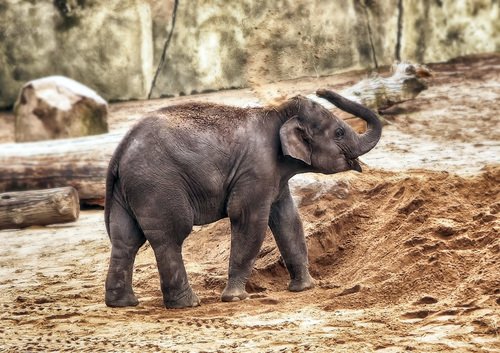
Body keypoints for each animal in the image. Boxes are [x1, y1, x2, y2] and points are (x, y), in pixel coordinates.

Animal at [103, 88, 380, 308]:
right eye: (339, 133)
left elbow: (288, 221)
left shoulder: (274, 175)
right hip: (157, 185)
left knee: (126, 240)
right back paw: (188, 304)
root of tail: (119, 151)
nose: (321, 90)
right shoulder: (256, 170)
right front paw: (235, 298)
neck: (276, 113)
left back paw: (123, 304)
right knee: (171, 236)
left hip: (127, 191)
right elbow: (249, 220)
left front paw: (304, 288)